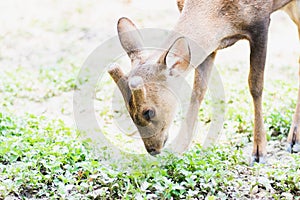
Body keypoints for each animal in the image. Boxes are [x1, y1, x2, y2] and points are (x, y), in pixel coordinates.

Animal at [108, 0, 300, 166]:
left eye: (148, 112)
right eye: (128, 110)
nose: (152, 149)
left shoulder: (260, 23)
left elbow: (255, 85)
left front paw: (259, 152)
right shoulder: (210, 44)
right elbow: (198, 90)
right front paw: (179, 148)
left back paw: (293, 140)